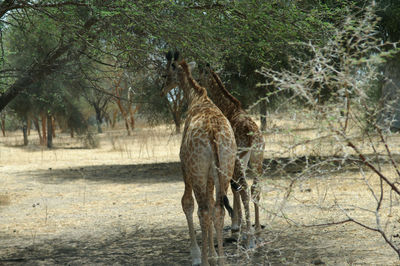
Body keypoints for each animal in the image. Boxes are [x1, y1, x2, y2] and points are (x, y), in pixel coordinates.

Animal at [162, 52, 238, 266]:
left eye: (164, 74)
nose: (162, 90)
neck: (197, 98)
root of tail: (213, 134)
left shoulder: (184, 164)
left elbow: (188, 203)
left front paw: (197, 255)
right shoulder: (212, 174)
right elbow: (212, 206)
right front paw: (213, 255)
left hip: (197, 170)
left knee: (202, 210)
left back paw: (203, 260)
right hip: (226, 167)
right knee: (218, 208)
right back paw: (222, 260)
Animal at [198, 64, 266, 245]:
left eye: (200, 75)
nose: (198, 83)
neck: (229, 107)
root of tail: (253, 138)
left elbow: (234, 188)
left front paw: (236, 226)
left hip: (240, 160)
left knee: (244, 188)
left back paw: (249, 233)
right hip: (258, 159)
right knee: (254, 187)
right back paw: (257, 230)